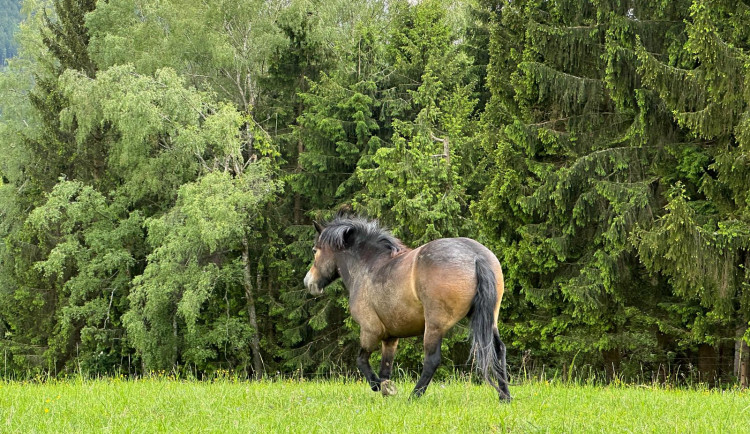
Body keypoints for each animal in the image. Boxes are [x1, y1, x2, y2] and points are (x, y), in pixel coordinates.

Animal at [304, 215, 512, 402]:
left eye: (315, 250)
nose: (309, 282)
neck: (369, 267)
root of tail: (476, 256)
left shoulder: (370, 330)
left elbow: (362, 361)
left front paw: (377, 386)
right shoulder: (390, 338)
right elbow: (385, 369)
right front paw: (386, 391)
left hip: (434, 326)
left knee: (431, 360)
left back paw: (415, 396)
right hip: (490, 319)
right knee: (498, 350)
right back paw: (505, 396)